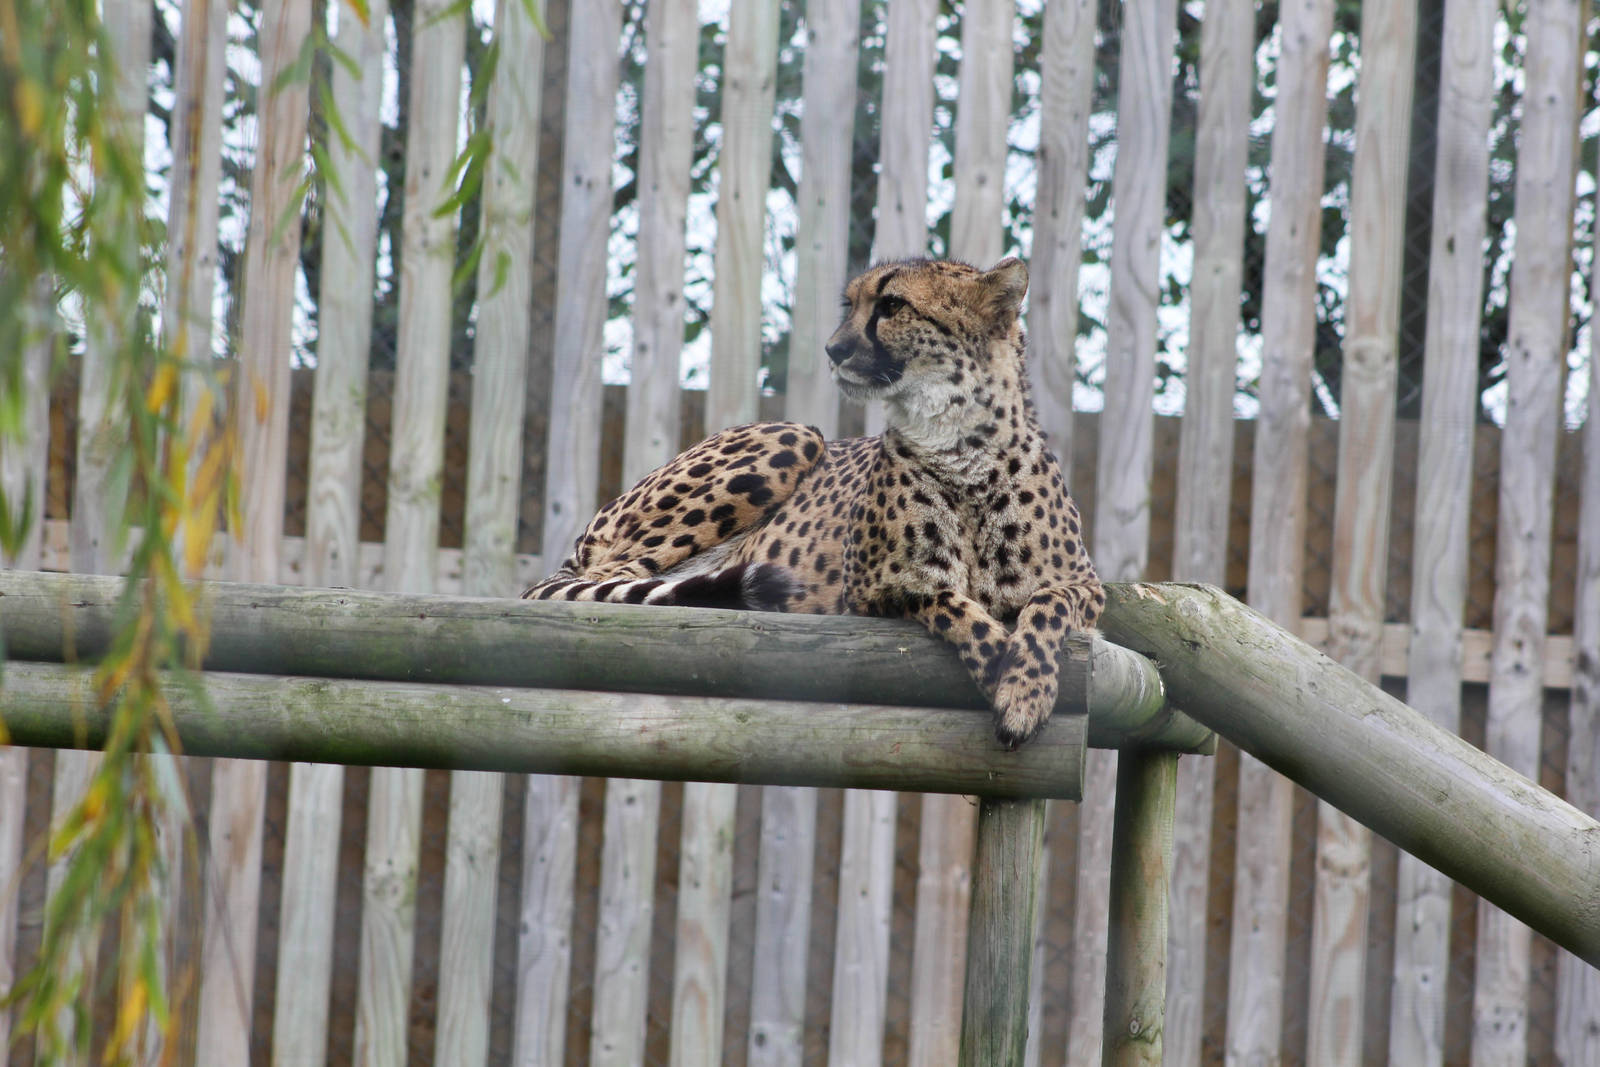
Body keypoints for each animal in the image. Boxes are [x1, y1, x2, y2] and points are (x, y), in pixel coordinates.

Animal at [524, 256, 1104, 748]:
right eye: (852, 305)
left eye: (892, 305)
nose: (833, 349)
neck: (961, 444)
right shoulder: (872, 591)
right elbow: (949, 603)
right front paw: (1002, 671)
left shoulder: (1089, 588)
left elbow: (1049, 604)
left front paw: (1025, 689)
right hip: (796, 435)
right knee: (600, 584)